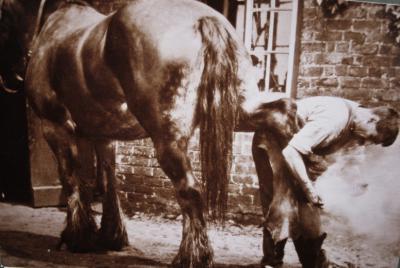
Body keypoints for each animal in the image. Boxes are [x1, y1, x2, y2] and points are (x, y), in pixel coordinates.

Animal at [0, 0, 288, 264]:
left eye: (4, 13)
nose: (11, 78)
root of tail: (205, 19)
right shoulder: (103, 135)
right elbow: (108, 182)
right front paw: (110, 235)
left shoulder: (55, 126)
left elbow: (71, 178)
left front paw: (76, 237)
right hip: (240, 110)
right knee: (283, 117)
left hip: (168, 139)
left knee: (190, 190)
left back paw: (192, 257)